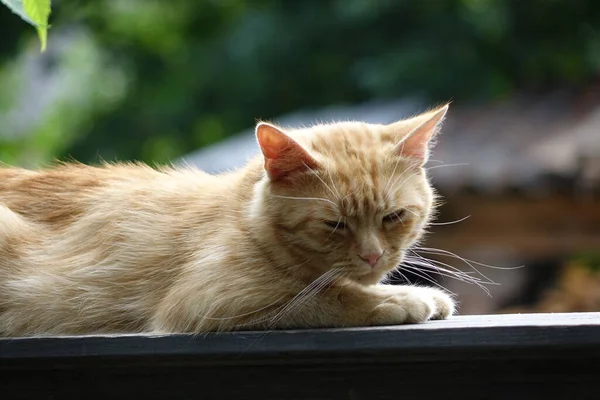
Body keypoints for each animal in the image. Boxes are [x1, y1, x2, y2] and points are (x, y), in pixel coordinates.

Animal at [0, 104, 454, 336]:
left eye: (394, 216)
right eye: (335, 225)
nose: (373, 257)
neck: (242, 214)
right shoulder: (211, 301)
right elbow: (328, 296)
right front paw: (403, 299)